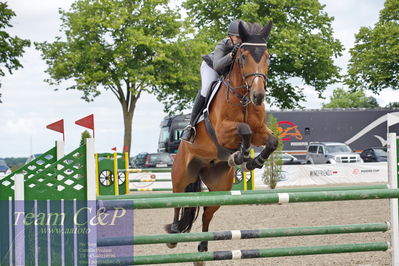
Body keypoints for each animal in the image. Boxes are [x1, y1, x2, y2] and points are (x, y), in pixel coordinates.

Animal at [166, 21, 278, 262]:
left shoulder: (260, 131)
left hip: (220, 188)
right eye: (243, 57)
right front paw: (241, 155)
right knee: (177, 202)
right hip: (181, 176)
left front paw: (252, 161)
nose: (258, 96)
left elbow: (271, 141)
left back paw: (203, 247)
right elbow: (243, 129)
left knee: (207, 213)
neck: (243, 98)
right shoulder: (222, 131)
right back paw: (173, 234)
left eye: (267, 57)